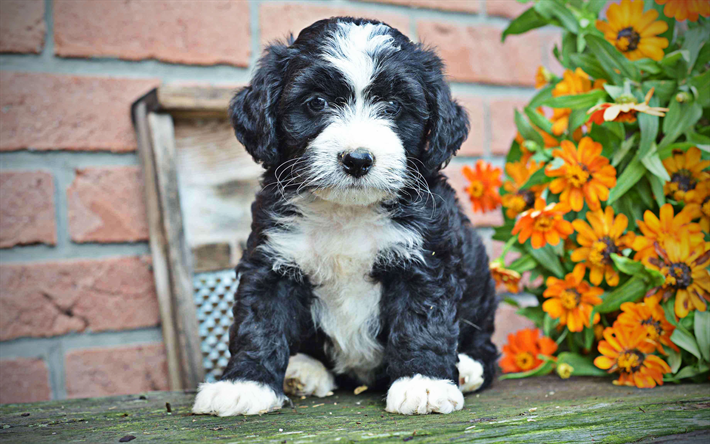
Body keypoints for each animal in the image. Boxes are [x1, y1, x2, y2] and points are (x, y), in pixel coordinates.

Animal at [192, 16, 498, 416]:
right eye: (316, 102)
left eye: (394, 105)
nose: (357, 159)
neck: (345, 211)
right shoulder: (272, 257)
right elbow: (258, 321)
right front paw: (244, 384)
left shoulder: (425, 258)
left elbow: (422, 320)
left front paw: (423, 383)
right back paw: (303, 370)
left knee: (488, 349)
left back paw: (469, 368)